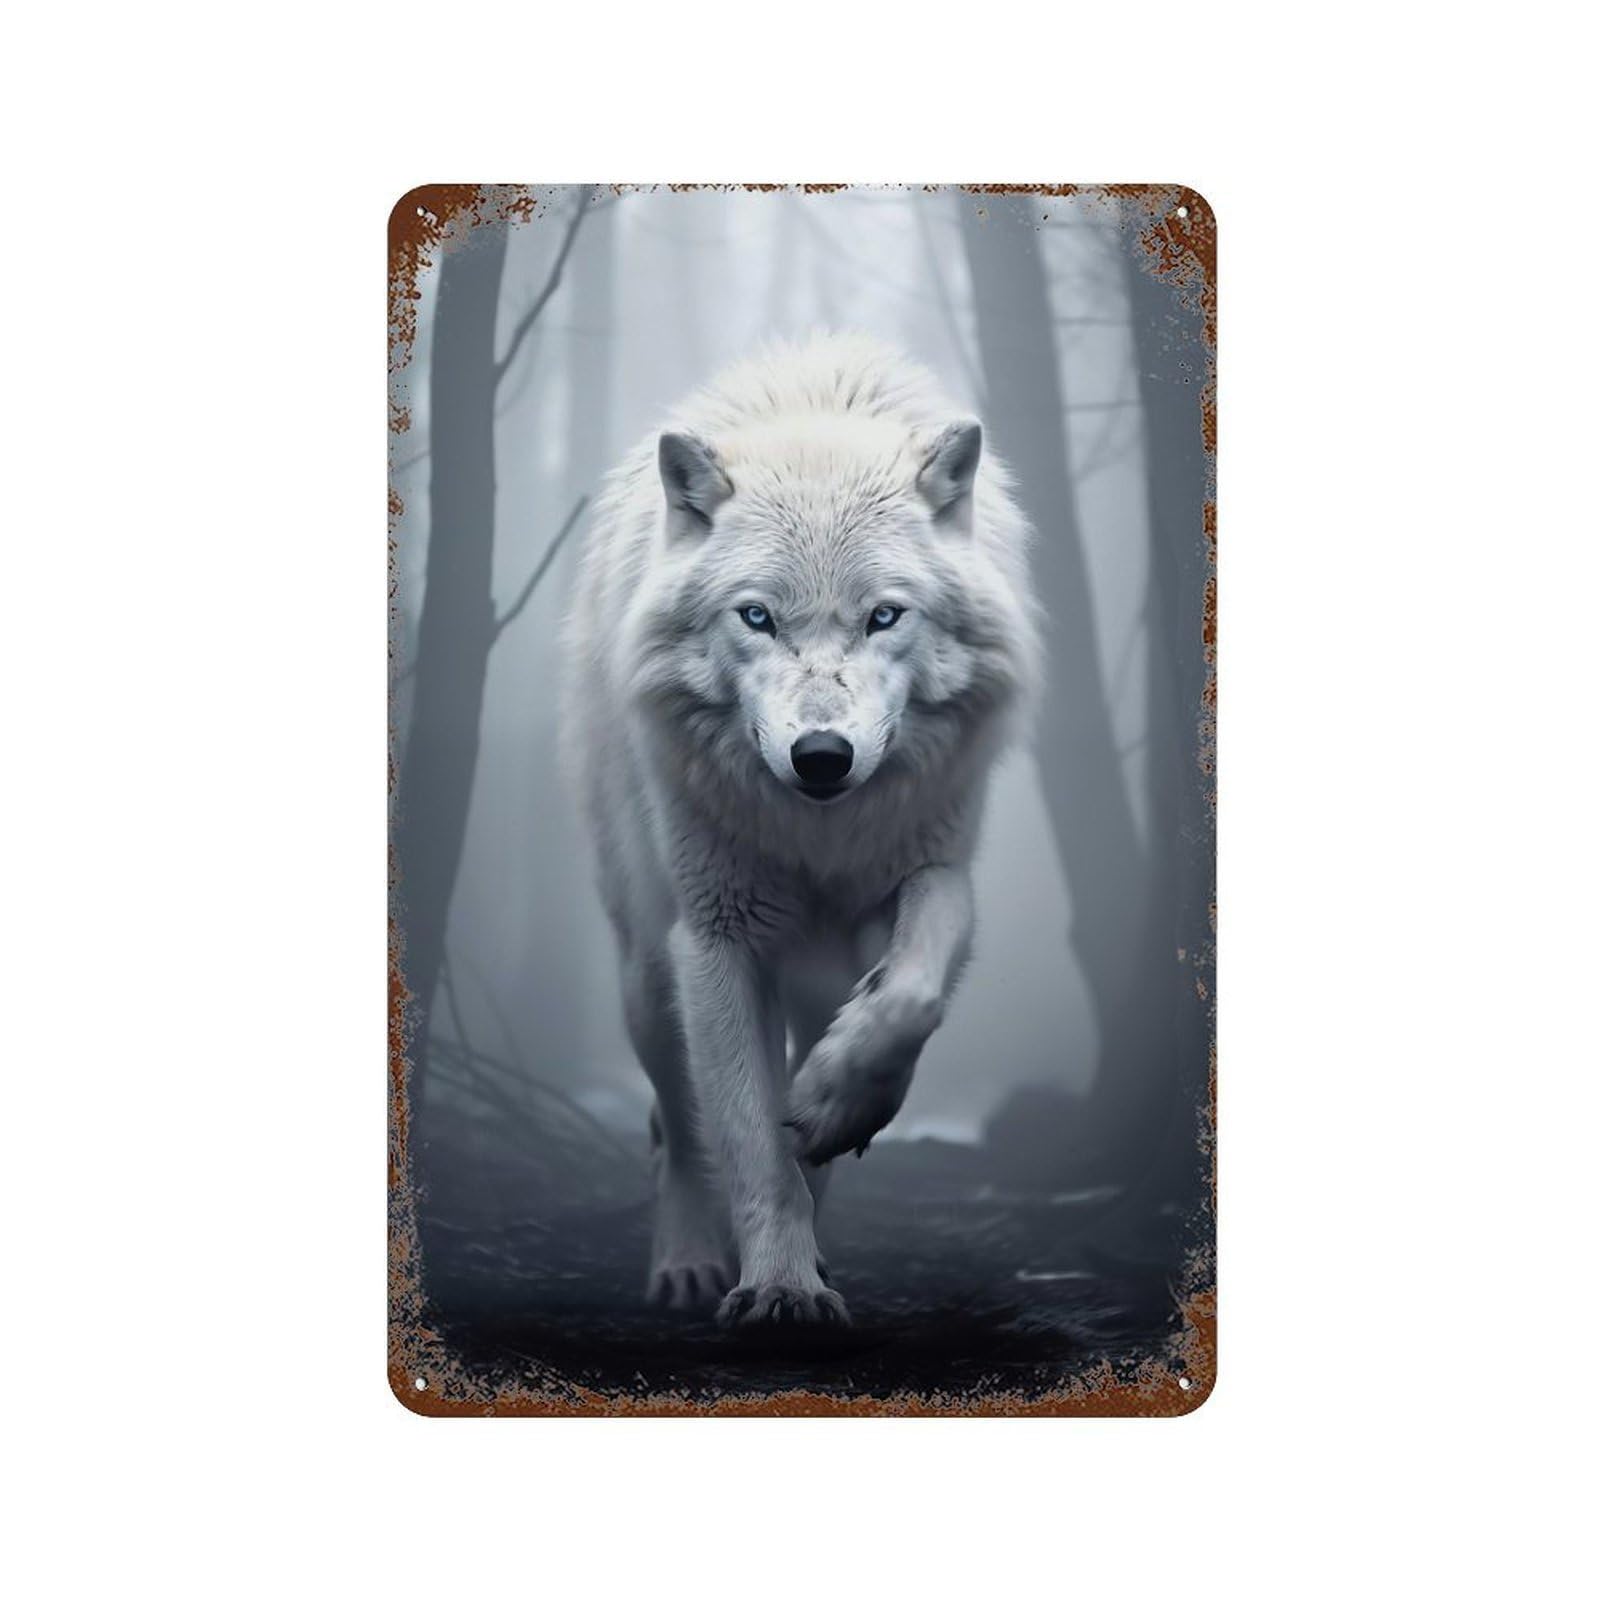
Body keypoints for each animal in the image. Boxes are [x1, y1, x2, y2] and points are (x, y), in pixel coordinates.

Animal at [561, 333, 1041, 1326]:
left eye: (884, 616)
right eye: (757, 617)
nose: (822, 757)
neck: (821, 836)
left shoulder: (935, 870)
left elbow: (905, 1001)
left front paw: (831, 1107)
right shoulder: (716, 937)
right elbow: (746, 1135)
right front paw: (779, 1286)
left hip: (811, 968)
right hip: (645, 975)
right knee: (675, 1123)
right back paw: (689, 1263)